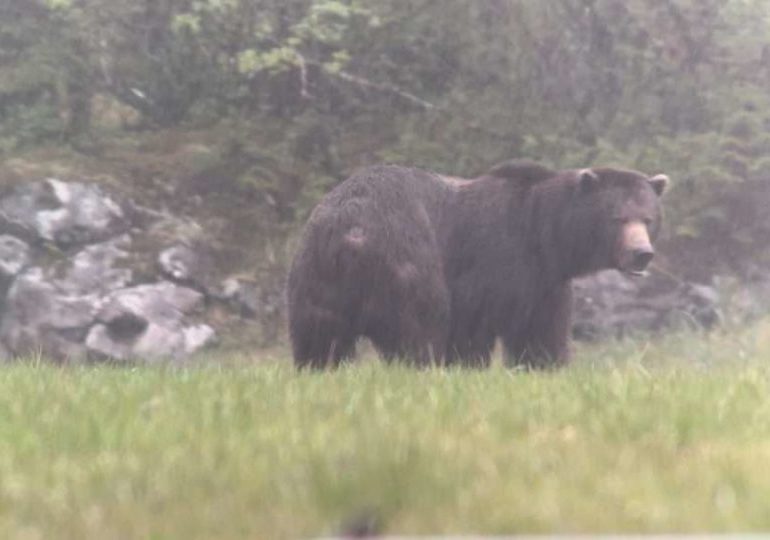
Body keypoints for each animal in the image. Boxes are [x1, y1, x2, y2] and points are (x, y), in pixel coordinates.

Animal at [284, 159, 664, 368]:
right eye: (618, 218)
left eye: (647, 218)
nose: (642, 252)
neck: (545, 237)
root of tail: (353, 233)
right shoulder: (493, 259)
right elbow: (473, 327)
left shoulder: (543, 283)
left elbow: (541, 334)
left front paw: (544, 365)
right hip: (406, 259)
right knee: (419, 327)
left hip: (315, 273)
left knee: (318, 338)